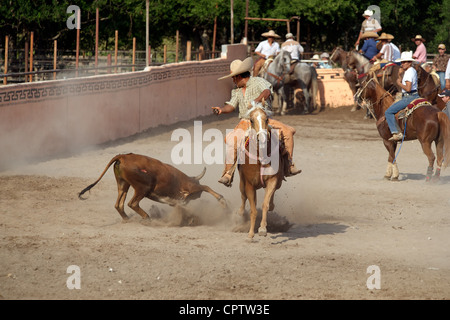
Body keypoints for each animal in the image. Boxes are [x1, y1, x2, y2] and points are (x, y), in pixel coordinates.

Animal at [237, 102, 290, 238]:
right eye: (251, 120)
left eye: (266, 119)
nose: (262, 138)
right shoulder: (249, 185)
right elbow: (253, 210)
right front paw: (250, 234)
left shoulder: (273, 180)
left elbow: (265, 204)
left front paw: (262, 228)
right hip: (242, 182)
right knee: (243, 196)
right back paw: (240, 214)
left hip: (278, 182)